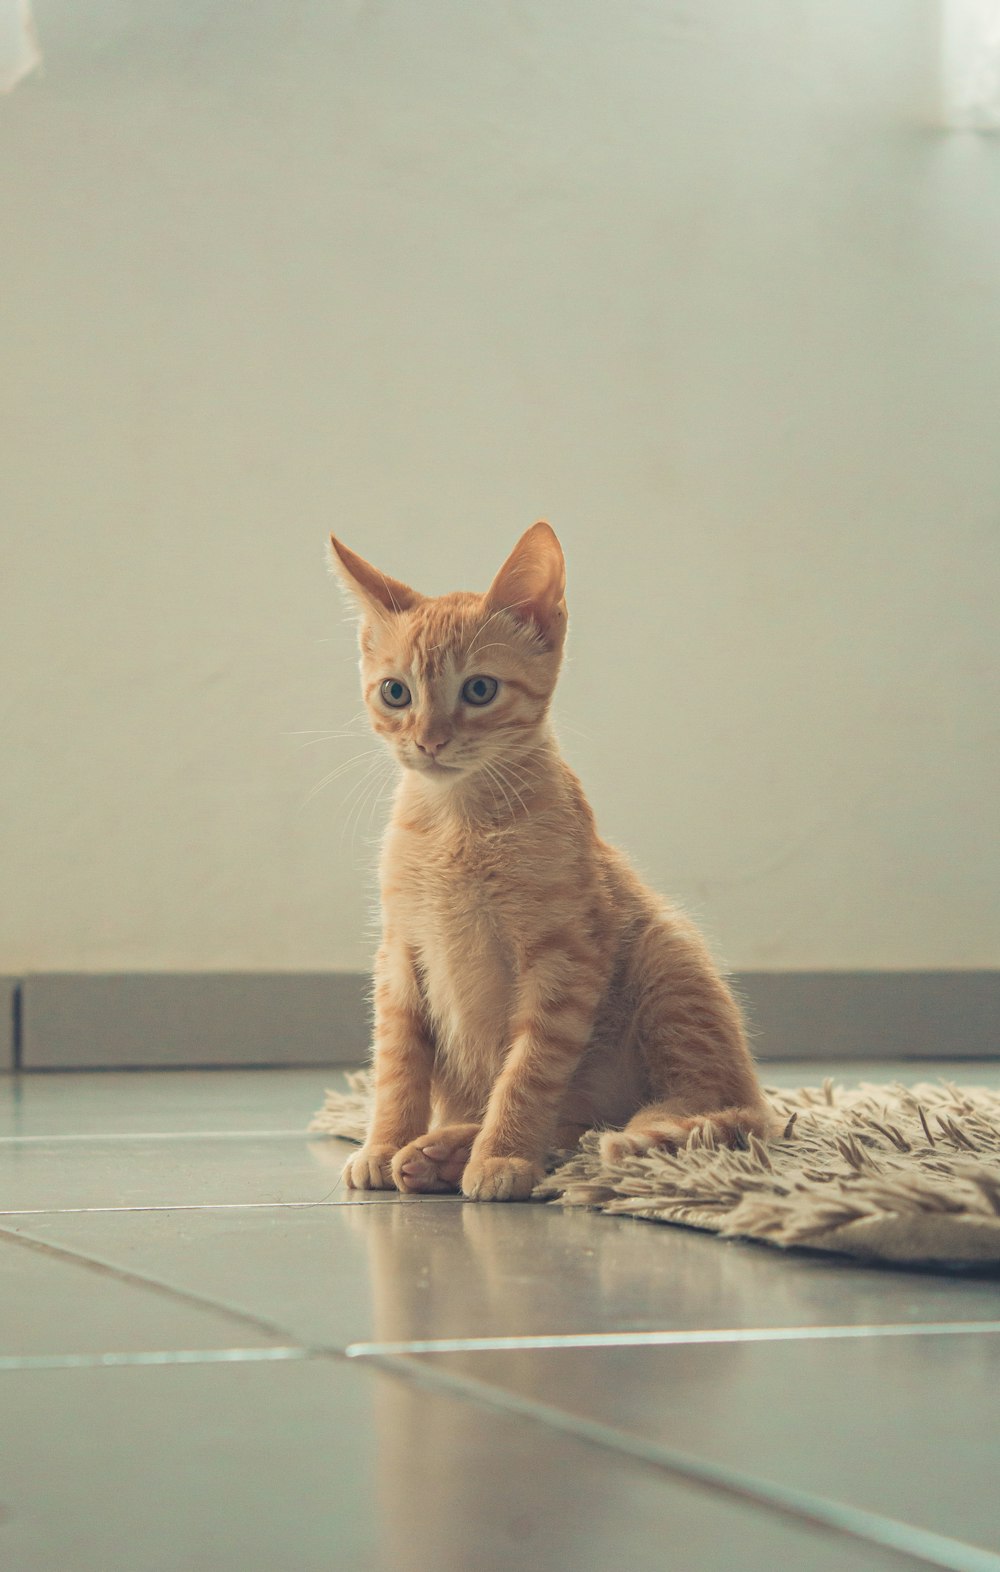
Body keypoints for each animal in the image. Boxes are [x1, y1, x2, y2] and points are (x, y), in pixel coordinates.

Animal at [331, 521, 776, 1194]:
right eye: (395, 692)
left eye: (480, 689)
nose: (429, 741)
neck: (457, 821)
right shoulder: (400, 957)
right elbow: (397, 1065)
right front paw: (384, 1143)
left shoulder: (563, 958)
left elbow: (528, 1070)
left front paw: (503, 1156)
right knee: (578, 1126)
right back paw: (441, 1150)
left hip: (668, 956)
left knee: (705, 1105)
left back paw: (640, 1132)